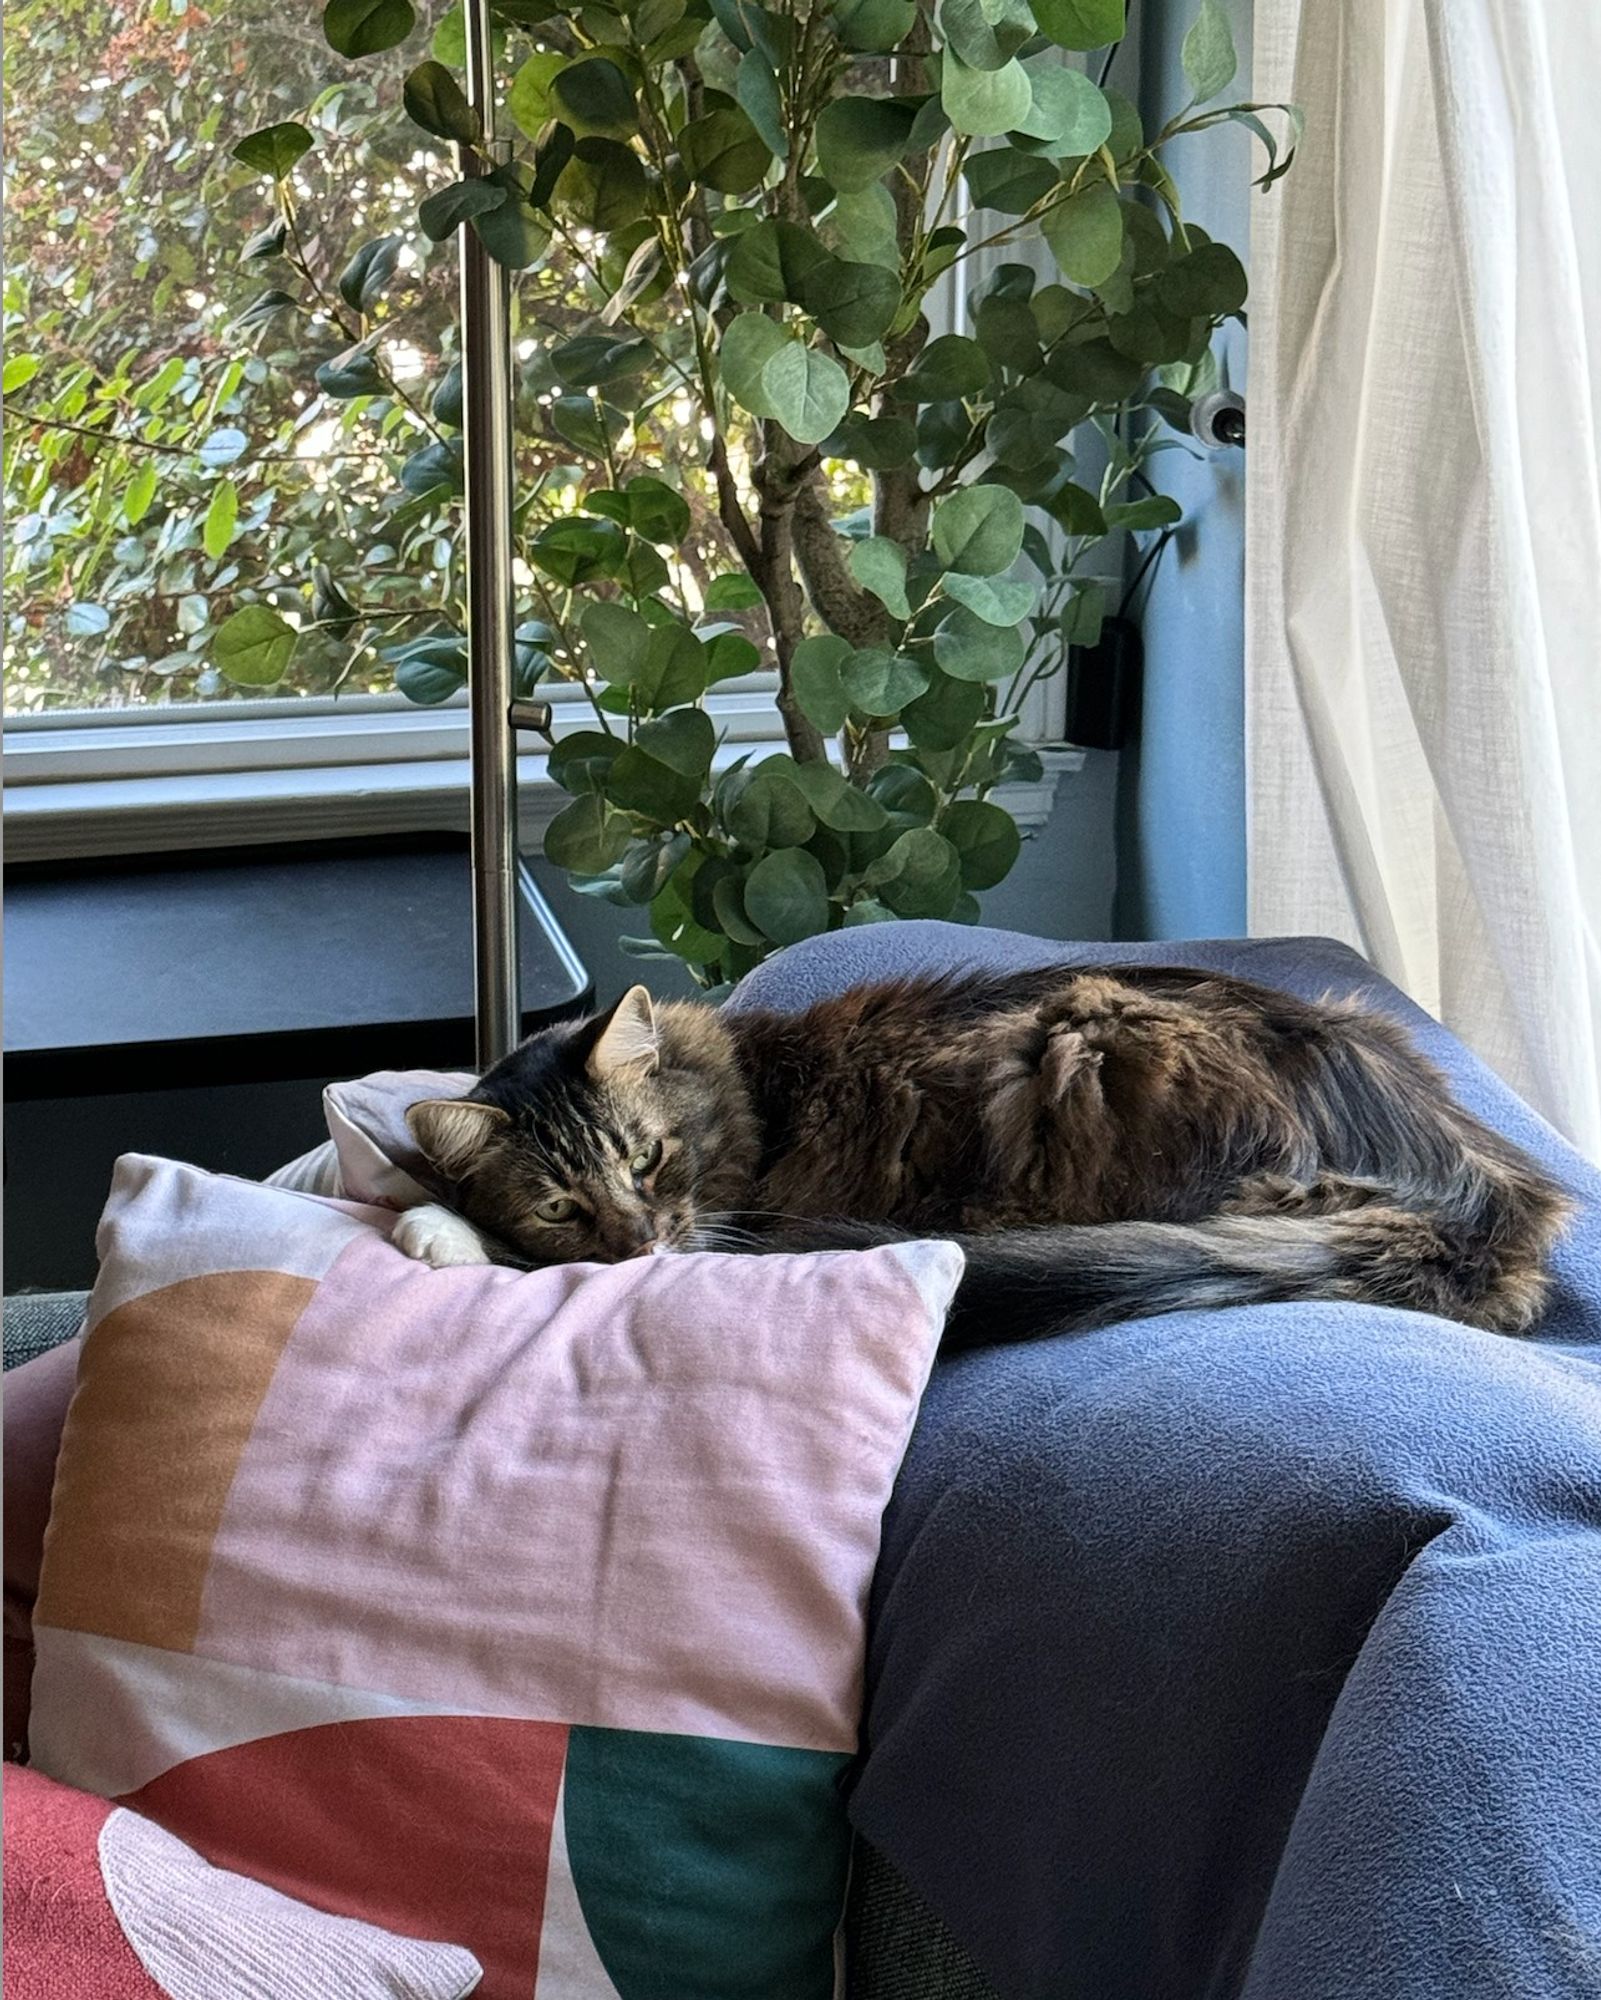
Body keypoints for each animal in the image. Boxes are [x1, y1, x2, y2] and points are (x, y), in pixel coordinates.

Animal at [394, 964, 1568, 1352]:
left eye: (648, 1161)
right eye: (560, 1204)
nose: (637, 1241)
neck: (745, 1095)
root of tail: (1472, 1182)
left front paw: (433, 1228)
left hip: (1082, 1037)